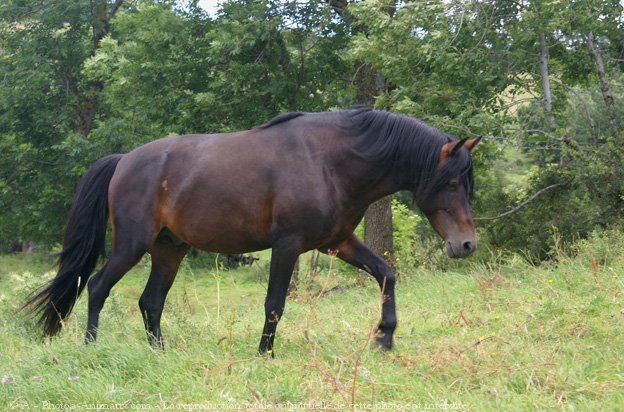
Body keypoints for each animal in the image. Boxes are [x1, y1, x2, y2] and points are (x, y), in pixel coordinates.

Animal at [25, 108, 482, 356]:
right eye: (451, 183)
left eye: (467, 184)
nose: (466, 245)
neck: (330, 161)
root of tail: (123, 161)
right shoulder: (288, 245)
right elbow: (275, 302)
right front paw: (265, 352)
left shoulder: (336, 243)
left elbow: (386, 274)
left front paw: (385, 338)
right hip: (131, 247)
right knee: (98, 286)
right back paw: (91, 347)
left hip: (170, 251)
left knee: (150, 301)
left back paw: (160, 352)